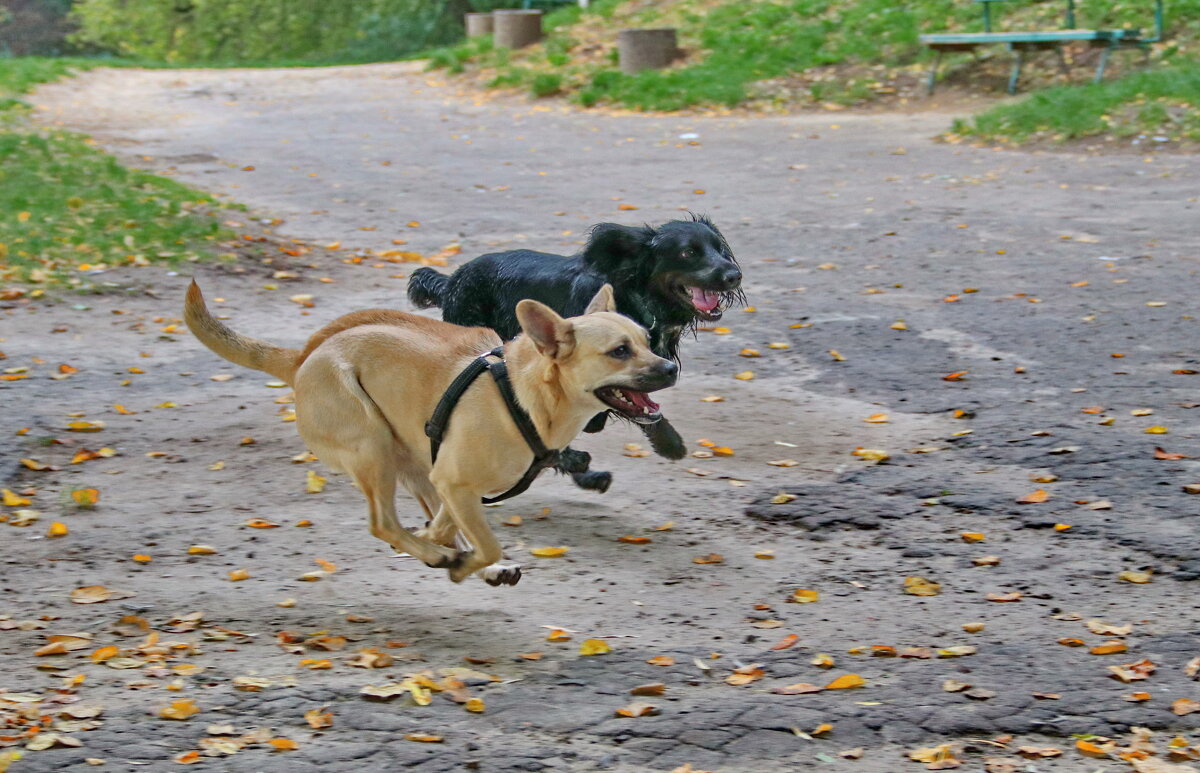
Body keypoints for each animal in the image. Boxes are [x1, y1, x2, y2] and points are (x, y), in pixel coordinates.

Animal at [183, 280, 681, 583]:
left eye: (646, 340)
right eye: (619, 351)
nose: (671, 367)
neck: (524, 397)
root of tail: (303, 356)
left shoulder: (448, 484)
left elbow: (449, 526)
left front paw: (450, 550)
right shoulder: (455, 484)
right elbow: (483, 541)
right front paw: (456, 562)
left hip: (413, 463)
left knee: (418, 521)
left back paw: (456, 557)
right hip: (373, 449)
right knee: (382, 523)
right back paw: (445, 558)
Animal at [410, 212, 739, 489]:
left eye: (719, 248)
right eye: (688, 252)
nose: (734, 274)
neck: (636, 298)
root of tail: (452, 280)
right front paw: (667, 441)